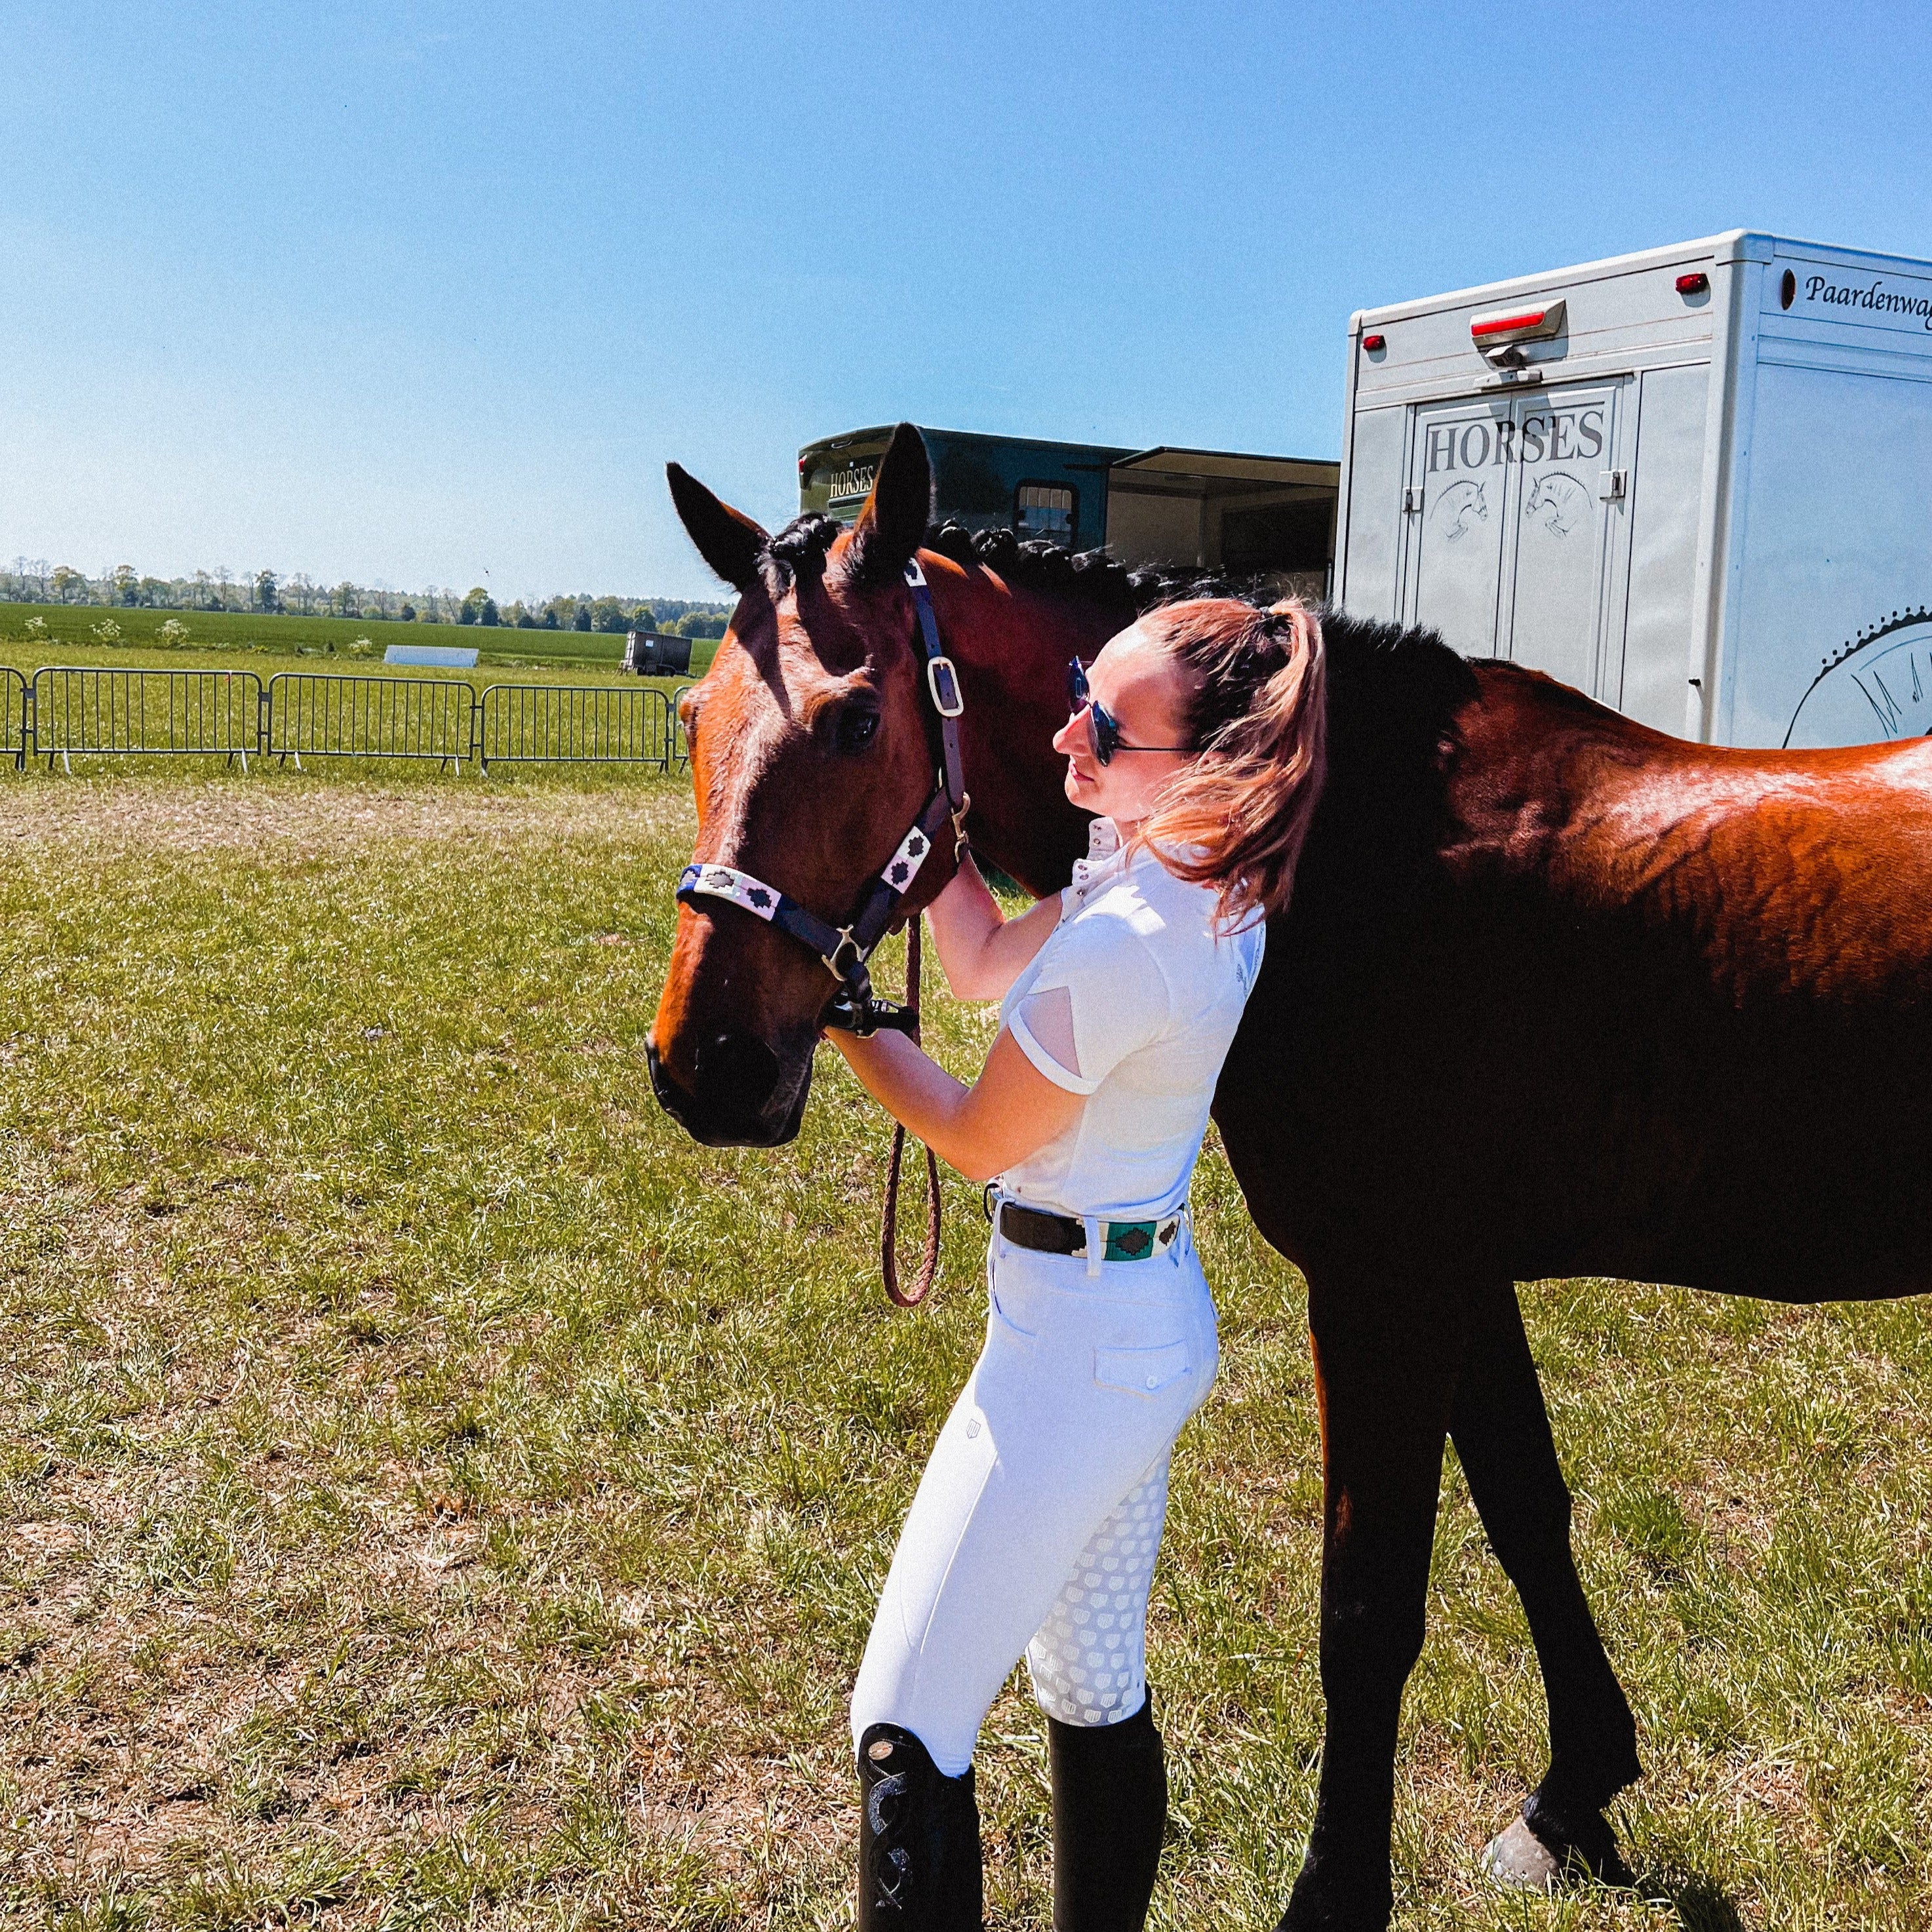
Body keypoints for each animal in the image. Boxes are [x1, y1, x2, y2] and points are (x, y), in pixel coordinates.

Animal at [645, 427, 1932, 1932]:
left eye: (853, 721)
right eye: (690, 715)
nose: (705, 1063)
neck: (1338, 843)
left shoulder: (1387, 1287)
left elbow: (1367, 1604)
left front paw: (1334, 1891)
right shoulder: (1458, 1275)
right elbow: (1528, 1515)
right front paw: (1571, 1798)